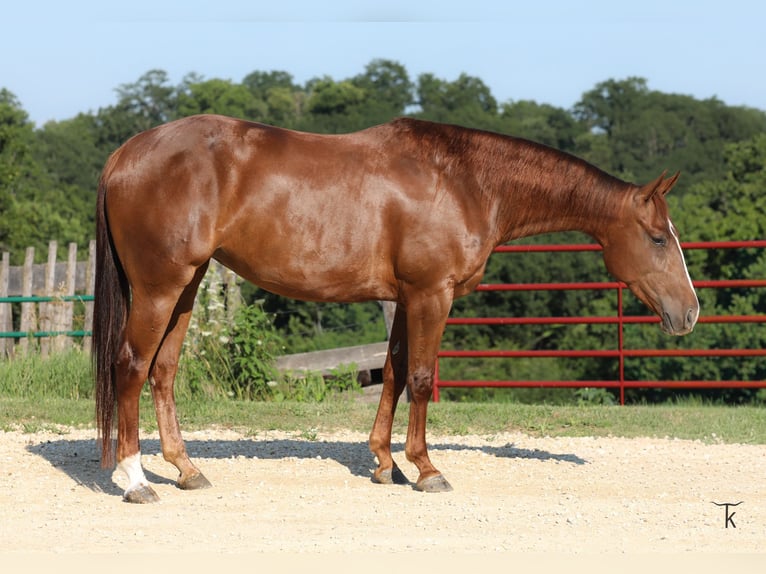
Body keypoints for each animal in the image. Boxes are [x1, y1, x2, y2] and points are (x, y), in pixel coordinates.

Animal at [93, 114, 699, 503]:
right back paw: (136, 480)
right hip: (160, 288)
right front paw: (426, 469)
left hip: (187, 288)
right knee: (131, 366)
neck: (464, 180)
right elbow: (424, 379)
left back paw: (186, 470)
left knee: (163, 372)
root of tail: (126, 153)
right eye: (658, 238)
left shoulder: (406, 298)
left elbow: (394, 374)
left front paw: (386, 464)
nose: (690, 312)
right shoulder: (432, 293)